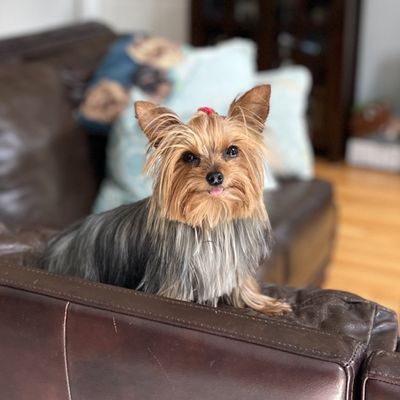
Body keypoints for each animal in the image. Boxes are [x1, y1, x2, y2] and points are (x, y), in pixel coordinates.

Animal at [41, 85, 290, 316]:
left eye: (232, 150)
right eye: (189, 157)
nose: (215, 177)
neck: (210, 218)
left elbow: (243, 284)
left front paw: (264, 303)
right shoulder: (173, 280)